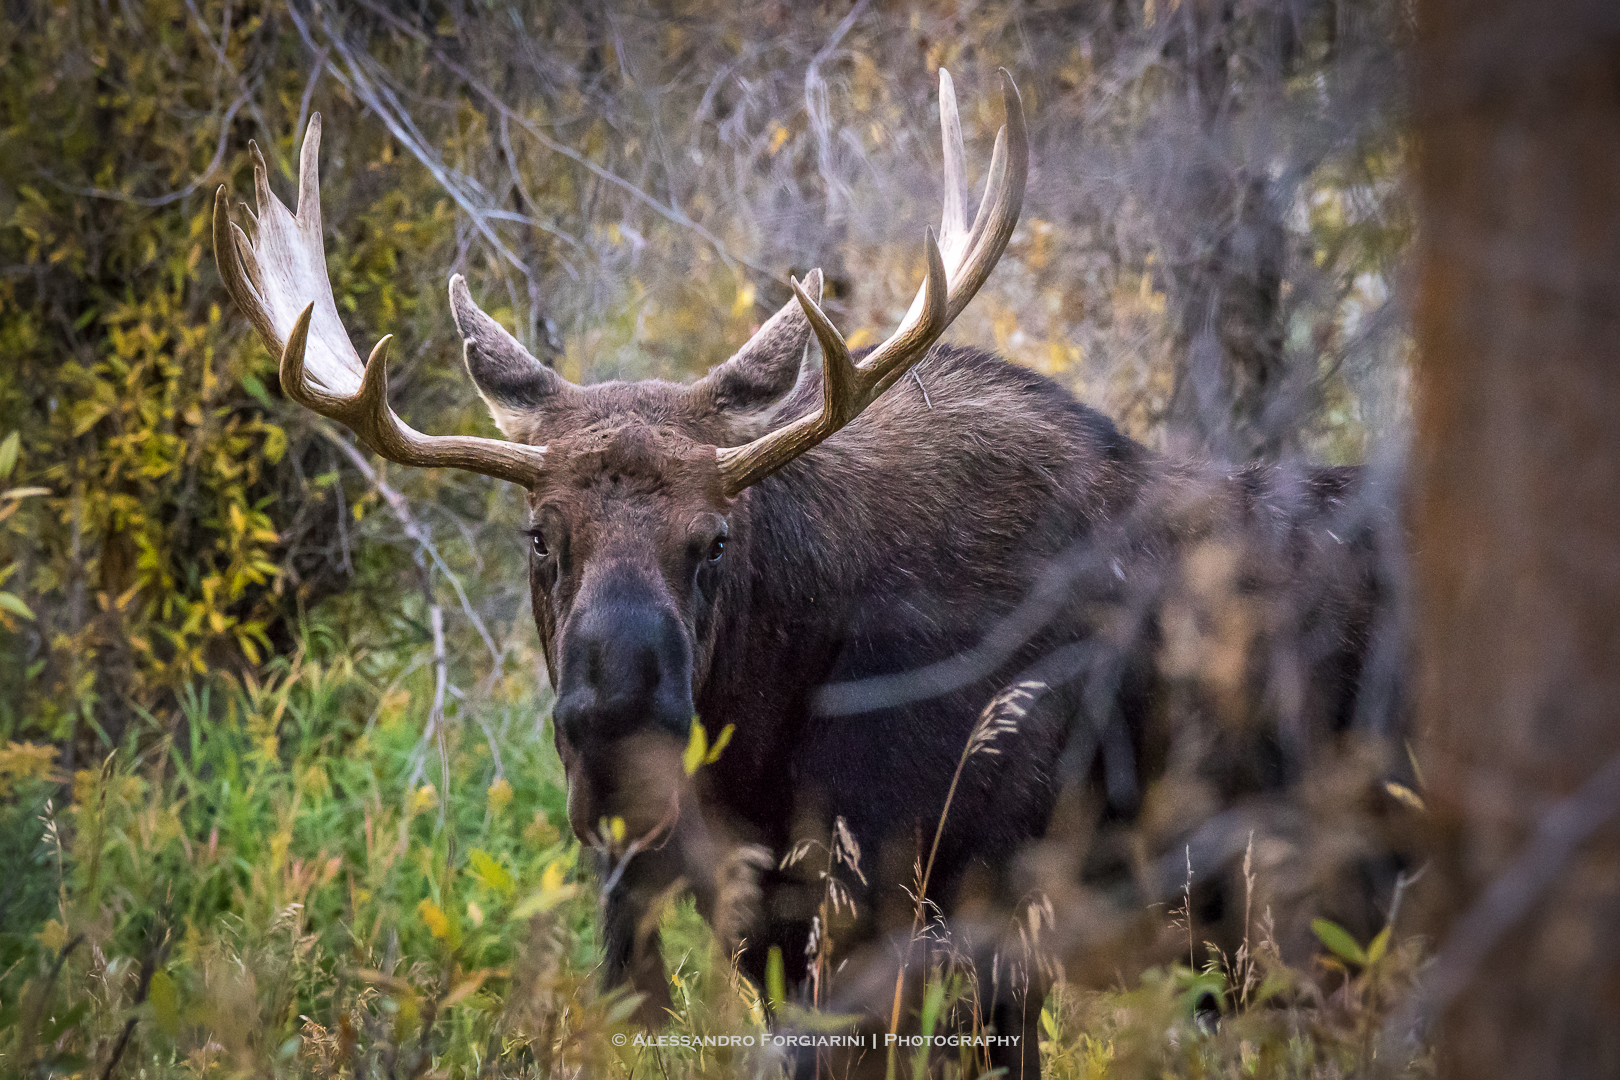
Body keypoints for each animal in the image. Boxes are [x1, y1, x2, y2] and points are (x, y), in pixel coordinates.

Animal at [214, 68, 1403, 1079]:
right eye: (539, 534)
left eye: (716, 538)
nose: (614, 707)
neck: (771, 744)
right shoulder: (783, 934)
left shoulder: (968, 916)